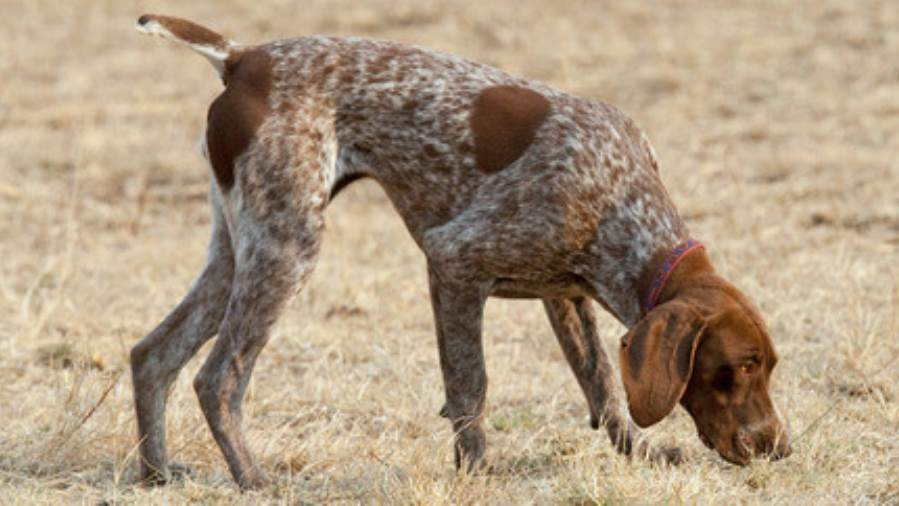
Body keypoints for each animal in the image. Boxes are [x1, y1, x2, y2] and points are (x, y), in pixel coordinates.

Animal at [130, 14, 792, 490]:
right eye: (742, 367)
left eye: (767, 366)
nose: (780, 449)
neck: (623, 200)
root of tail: (243, 59)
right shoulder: (453, 261)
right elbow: (471, 385)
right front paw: (476, 473)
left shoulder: (565, 293)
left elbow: (602, 384)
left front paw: (640, 452)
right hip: (288, 247)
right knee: (218, 378)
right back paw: (252, 479)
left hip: (238, 249)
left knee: (153, 355)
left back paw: (157, 473)